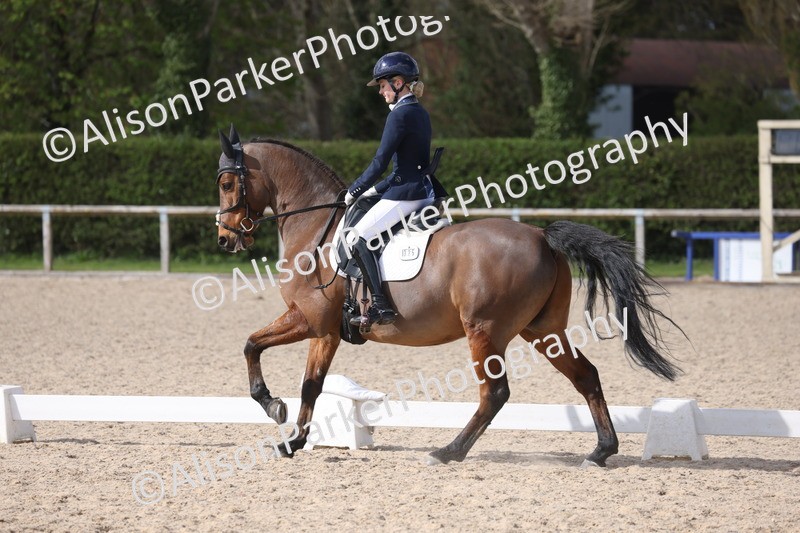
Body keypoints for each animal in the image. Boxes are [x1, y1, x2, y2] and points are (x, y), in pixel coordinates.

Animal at [214, 125, 684, 467]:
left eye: (227, 183)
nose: (225, 238)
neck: (317, 229)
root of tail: (541, 235)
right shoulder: (325, 329)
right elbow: (309, 383)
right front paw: (292, 440)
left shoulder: (310, 319)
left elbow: (253, 346)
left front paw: (272, 406)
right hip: (543, 330)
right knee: (585, 376)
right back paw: (601, 451)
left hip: (485, 331)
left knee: (495, 393)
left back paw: (448, 451)